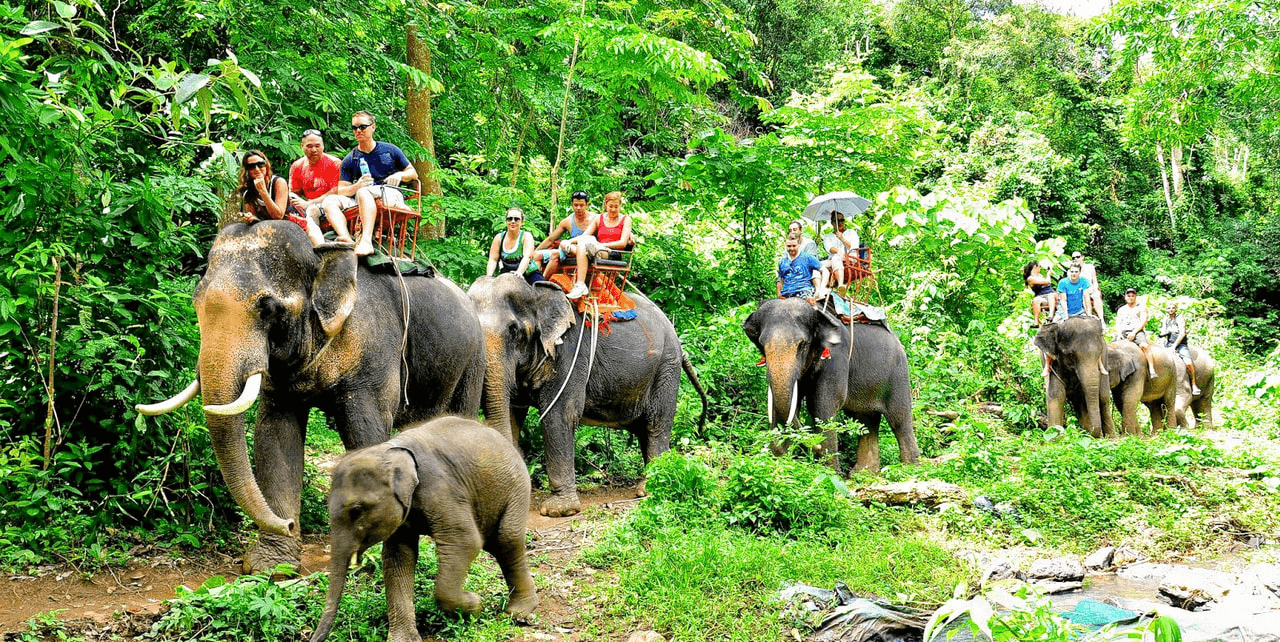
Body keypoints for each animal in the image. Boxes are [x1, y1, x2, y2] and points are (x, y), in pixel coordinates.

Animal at [133, 222, 483, 572]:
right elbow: (275, 437)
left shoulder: (375, 351)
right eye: (196, 301)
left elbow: (365, 433)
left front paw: (364, 556)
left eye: (268, 308)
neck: (322, 259)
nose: (287, 524)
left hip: (473, 360)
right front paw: (272, 567)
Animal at [311, 416, 540, 642]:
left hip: (518, 487)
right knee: (496, 543)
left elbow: (464, 542)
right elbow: (399, 556)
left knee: (506, 539)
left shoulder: (442, 488)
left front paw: (475, 605)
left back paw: (518, 613)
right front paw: (403, 639)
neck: (390, 450)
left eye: (357, 510)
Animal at [468, 273, 711, 519]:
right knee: (644, 428)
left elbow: (559, 416)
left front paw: (559, 511)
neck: (536, 291)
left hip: (666, 368)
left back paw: (649, 488)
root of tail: (678, 342)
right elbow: (511, 414)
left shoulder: (569, 354)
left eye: (514, 330)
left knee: (656, 423)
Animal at [742, 295, 921, 470]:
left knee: (899, 419)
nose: (814, 446)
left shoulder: (836, 358)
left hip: (898, 373)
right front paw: (778, 459)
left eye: (802, 345)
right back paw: (863, 474)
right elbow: (787, 404)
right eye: (762, 344)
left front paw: (829, 471)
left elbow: (822, 405)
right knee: (865, 420)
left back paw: (911, 468)